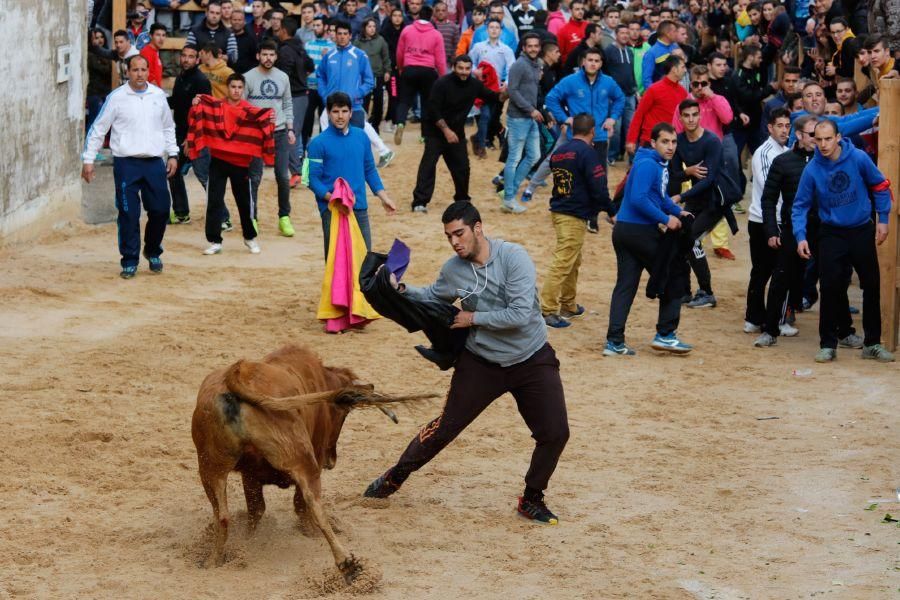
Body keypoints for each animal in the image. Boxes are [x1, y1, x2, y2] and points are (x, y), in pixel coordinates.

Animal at [189, 344, 426, 584]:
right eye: (343, 413)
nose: (332, 460)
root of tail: (238, 376)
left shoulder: (250, 475)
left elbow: (256, 509)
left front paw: (248, 539)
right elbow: (298, 504)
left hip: (210, 467)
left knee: (222, 516)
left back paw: (213, 560)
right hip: (305, 461)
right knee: (313, 503)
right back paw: (346, 563)